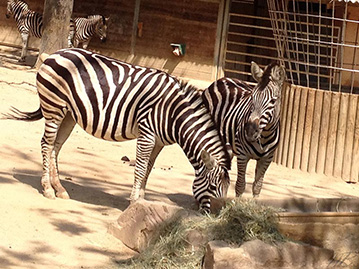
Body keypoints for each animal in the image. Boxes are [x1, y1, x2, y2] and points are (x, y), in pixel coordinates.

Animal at [2, 47, 232, 211]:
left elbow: (148, 168)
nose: (218, 216)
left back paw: (60, 188)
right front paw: (134, 201)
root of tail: (55, 53)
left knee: (55, 147)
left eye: (227, 189)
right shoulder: (147, 133)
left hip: (68, 115)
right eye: (213, 187)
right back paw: (48, 189)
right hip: (54, 107)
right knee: (46, 144)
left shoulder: (158, 141)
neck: (174, 114)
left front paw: (142, 201)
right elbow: (140, 168)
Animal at [204, 61, 286, 198]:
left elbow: (257, 186)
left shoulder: (267, 158)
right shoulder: (242, 155)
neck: (264, 136)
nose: (250, 131)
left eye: (273, 101)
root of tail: (224, 78)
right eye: (252, 97)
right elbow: (240, 185)